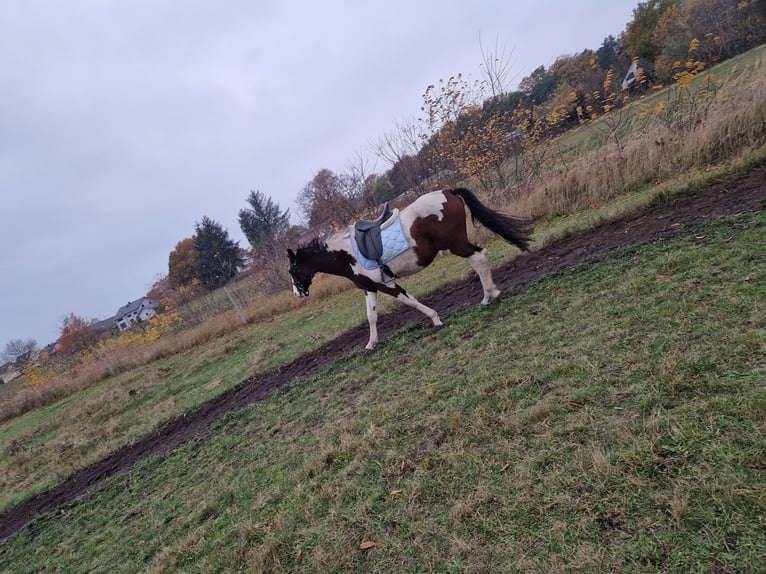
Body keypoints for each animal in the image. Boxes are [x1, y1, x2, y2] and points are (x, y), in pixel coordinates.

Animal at [288, 189, 536, 352]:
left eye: (292, 271)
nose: (297, 293)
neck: (347, 253)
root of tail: (446, 192)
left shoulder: (385, 284)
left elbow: (410, 301)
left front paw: (435, 319)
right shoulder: (369, 288)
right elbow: (371, 316)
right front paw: (371, 344)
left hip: (455, 243)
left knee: (479, 257)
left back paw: (489, 295)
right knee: (477, 259)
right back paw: (489, 295)